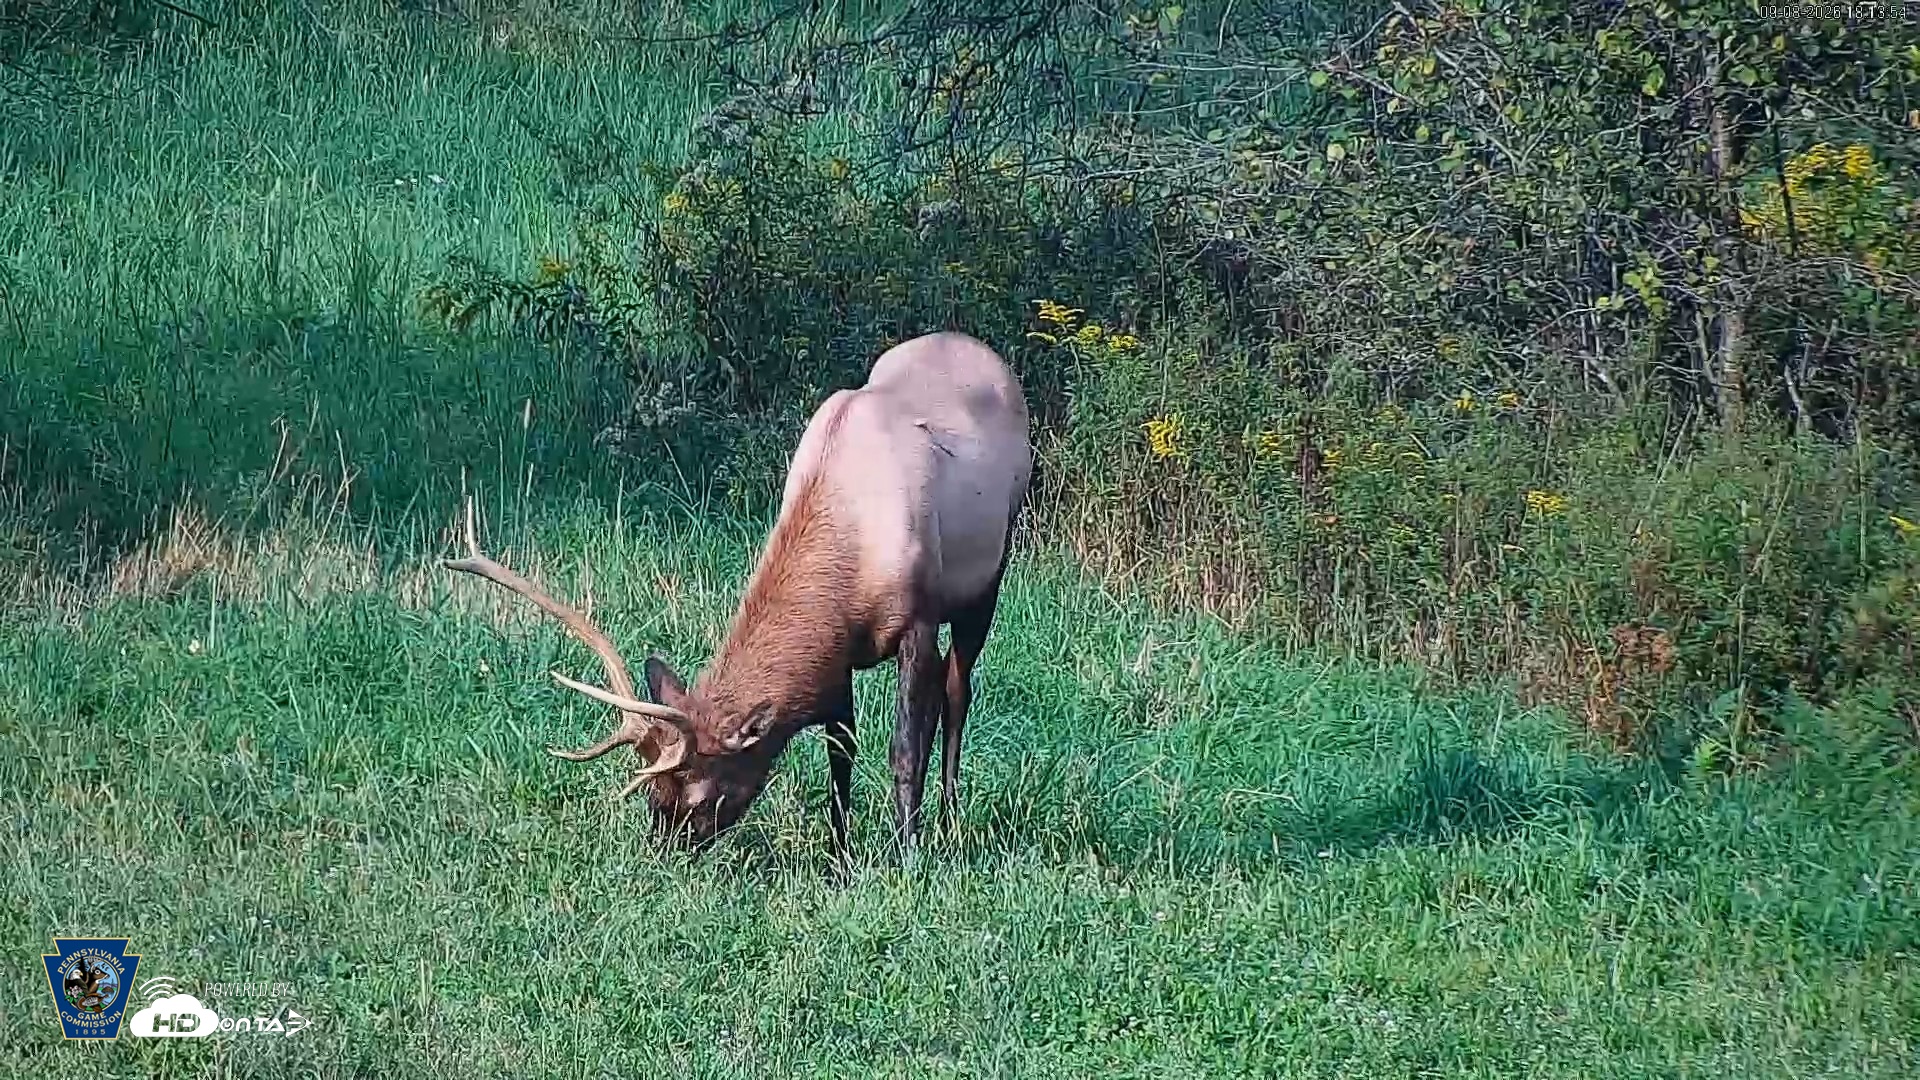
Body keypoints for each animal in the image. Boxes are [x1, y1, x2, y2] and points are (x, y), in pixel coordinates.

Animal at [445, 331, 1032, 862]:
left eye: (702, 796)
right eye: (653, 794)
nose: (664, 854)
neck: (854, 555)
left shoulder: (918, 618)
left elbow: (904, 748)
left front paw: (905, 857)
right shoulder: (836, 650)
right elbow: (840, 747)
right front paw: (840, 857)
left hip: (989, 576)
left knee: (955, 690)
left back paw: (948, 821)